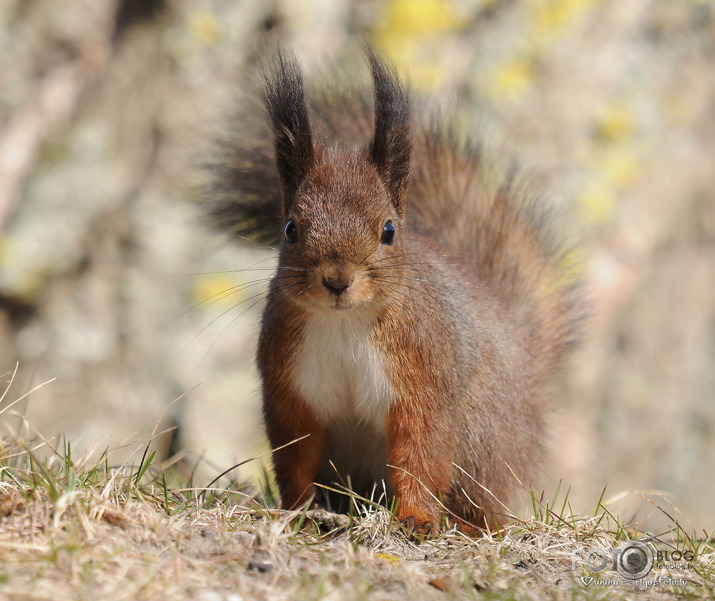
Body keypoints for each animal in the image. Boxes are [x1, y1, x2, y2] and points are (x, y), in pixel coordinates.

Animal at [204, 49, 584, 532]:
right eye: (290, 228)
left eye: (388, 230)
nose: (337, 280)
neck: (345, 323)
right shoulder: (291, 389)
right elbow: (295, 456)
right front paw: (298, 513)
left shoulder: (424, 377)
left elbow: (421, 453)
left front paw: (417, 520)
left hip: (482, 447)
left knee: (482, 504)